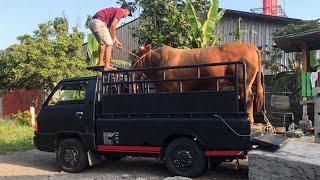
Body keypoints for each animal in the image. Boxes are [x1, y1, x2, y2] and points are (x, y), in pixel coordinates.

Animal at [130, 42, 262, 124]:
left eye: (135, 58)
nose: (130, 71)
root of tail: (250, 46)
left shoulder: (174, 88)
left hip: (243, 81)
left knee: (248, 97)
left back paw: (250, 119)